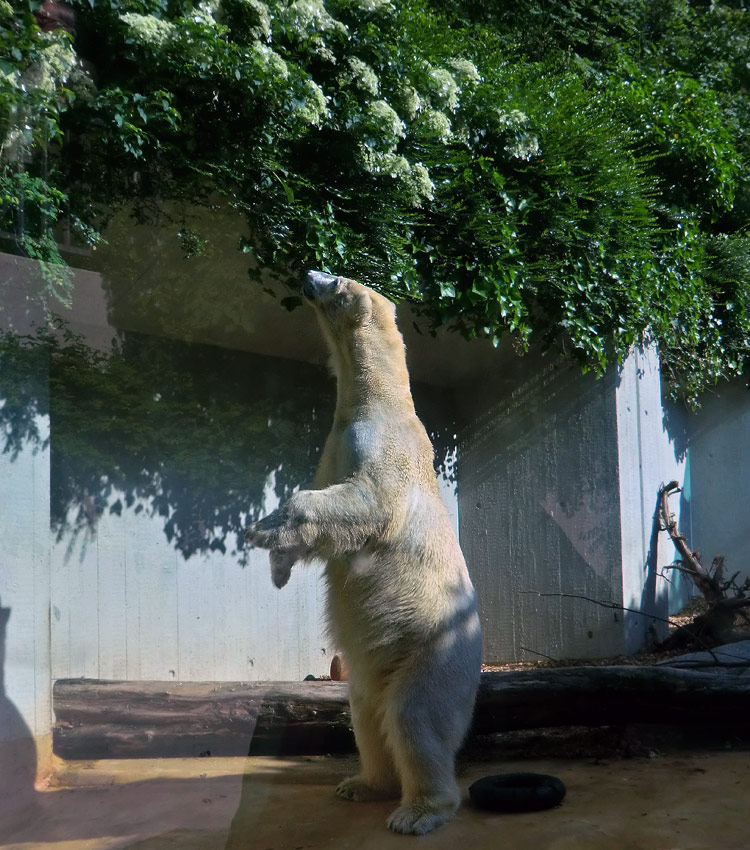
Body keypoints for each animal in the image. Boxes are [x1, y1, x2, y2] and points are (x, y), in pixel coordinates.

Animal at [244, 272, 484, 836]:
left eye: (334, 278)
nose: (305, 272)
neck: (377, 401)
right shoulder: (333, 445)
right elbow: (321, 500)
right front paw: (277, 559)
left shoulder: (382, 449)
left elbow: (364, 502)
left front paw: (262, 532)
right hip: (374, 670)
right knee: (365, 716)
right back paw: (362, 783)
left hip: (435, 650)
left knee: (415, 717)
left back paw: (418, 811)